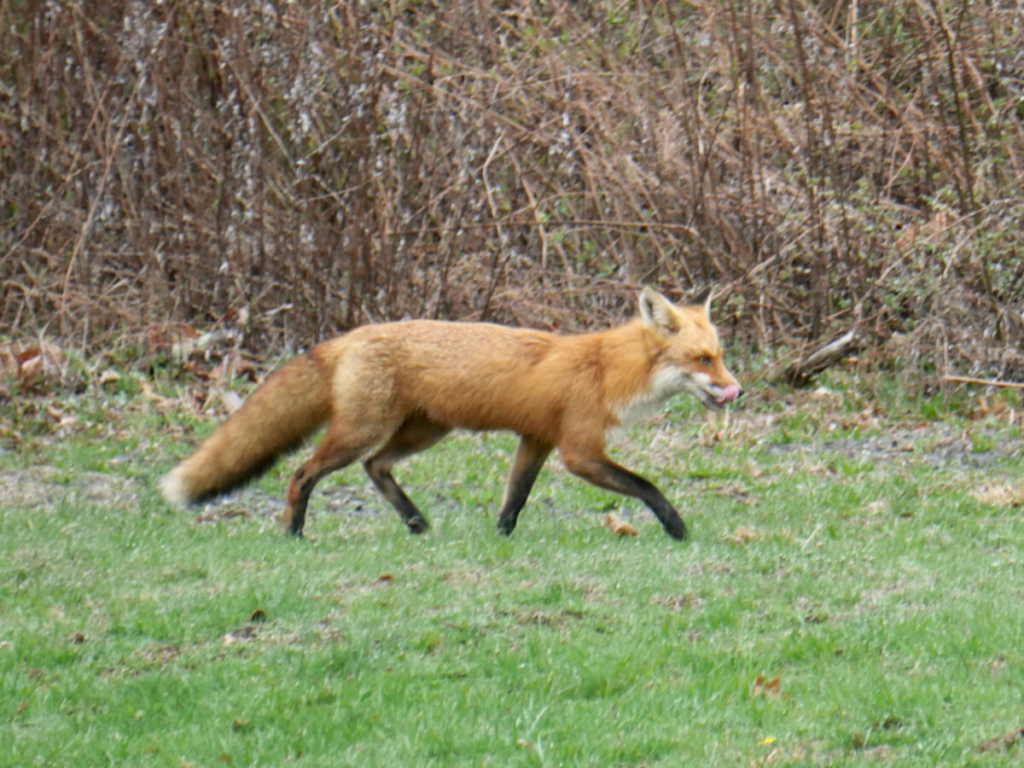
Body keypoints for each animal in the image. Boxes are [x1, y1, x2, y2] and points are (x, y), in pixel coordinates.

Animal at [161, 286, 741, 540]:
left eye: (720, 354)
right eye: (703, 359)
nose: (735, 389)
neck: (605, 369)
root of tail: (351, 335)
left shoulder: (536, 439)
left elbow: (515, 498)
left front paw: (502, 539)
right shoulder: (578, 450)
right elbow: (646, 484)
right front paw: (676, 525)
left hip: (425, 432)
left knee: (376, 467)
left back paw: (416, 523)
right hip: (361, 431)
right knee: (304, 472)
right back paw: (294, 531)